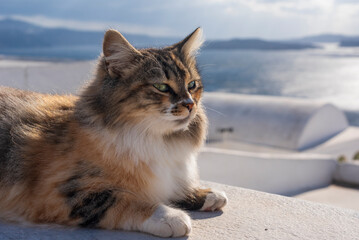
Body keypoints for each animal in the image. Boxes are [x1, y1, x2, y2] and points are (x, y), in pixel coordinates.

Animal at [0, 27, 228, 237]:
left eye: (192, 85)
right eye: (161, 87)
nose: (190, 105)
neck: (155, 139)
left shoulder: (166, 175)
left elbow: (172, 187)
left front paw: (206, 194)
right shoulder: (62, 192)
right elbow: (126, 200)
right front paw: (171, 216)